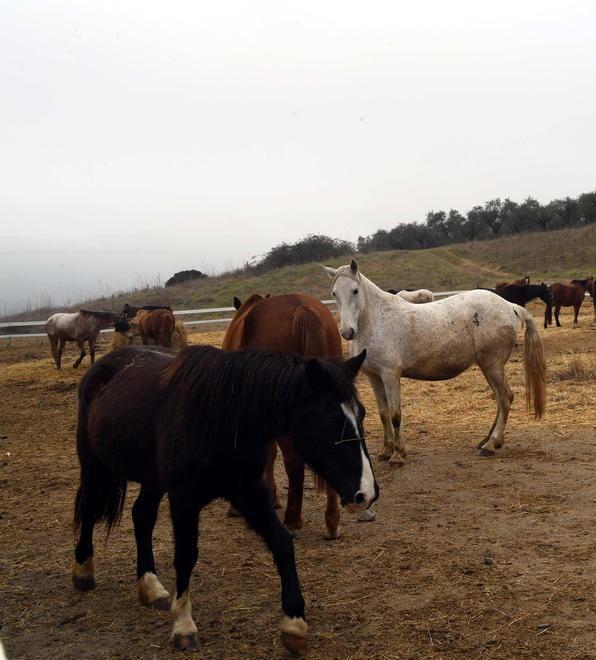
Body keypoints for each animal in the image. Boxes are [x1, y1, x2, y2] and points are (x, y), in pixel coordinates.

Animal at [72, 345, 377, 654]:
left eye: (362, 413)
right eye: (331, 419)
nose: (366, 493)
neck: (224, 421)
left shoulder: (249, 492)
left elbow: (282, 543)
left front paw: (294, 624)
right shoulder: (184, 499)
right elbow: (186, 555)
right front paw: (183, 625)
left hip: (153, 481)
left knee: (142, 516)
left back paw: (150, 586)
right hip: (93, 463)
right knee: (89, 507)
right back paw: (83, 570)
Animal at [324, 260, 546, 464]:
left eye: (355, 290)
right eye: (334, 293)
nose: (347, 332)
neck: (376, 321)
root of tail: (509, 306)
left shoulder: (390, 376)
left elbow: (395, 415)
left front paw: (398, 454)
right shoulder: (374, 378)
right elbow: (383, 414)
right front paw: (386, 451)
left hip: (493, 365)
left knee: (505, 398)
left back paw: (492, 444)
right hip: (487, 366)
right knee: (500, 399)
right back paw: (486, 440)